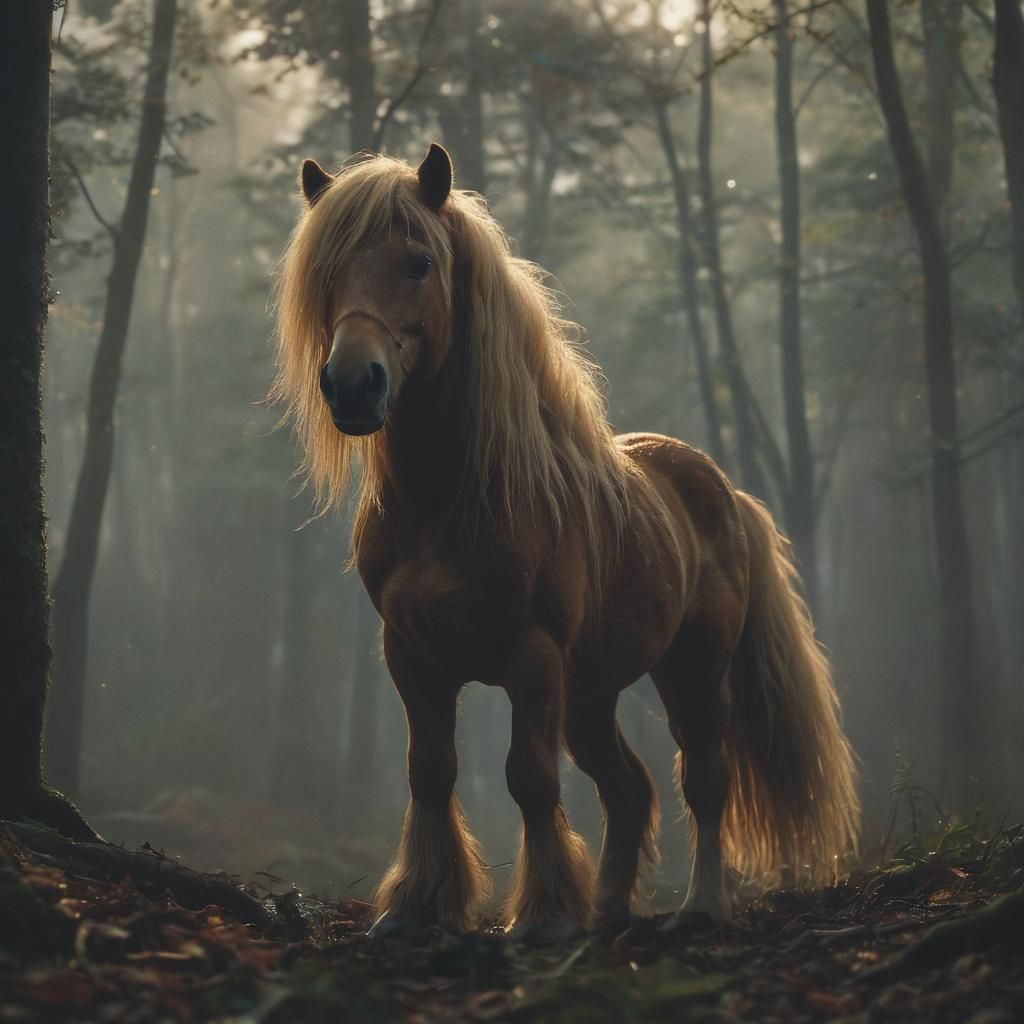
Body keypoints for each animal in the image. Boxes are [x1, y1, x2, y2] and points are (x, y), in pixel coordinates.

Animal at [273, 143, 859, 937]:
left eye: (419, 263)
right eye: (327, 270)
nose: (352, 385)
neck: (451, 501)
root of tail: (724, 494)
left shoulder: (532, 655)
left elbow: (529, 778)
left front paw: (543, 914)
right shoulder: (412, 654)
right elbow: (430, 771)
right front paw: (417, 905)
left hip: (692, 671)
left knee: (704, 780)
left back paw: (701, 905)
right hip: (591, 693)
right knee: (629, 788)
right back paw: (607, 908)